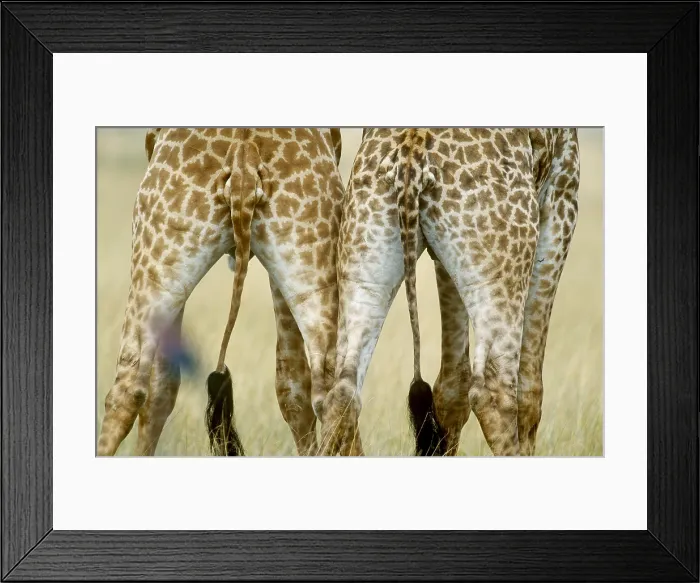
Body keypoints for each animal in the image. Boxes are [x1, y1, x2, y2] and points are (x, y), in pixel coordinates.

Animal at [324, 128, 579, 456]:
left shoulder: (443, 257)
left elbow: (451, 385)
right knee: (496, 394)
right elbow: (531, 389)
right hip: (503, 263)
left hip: (364, 256)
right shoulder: (562, 196)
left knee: (343, 389)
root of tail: (412, 149)